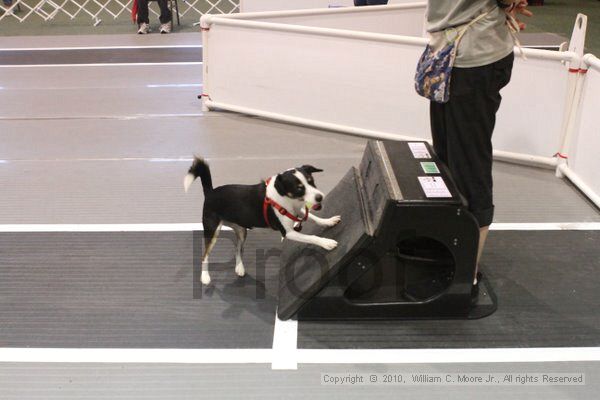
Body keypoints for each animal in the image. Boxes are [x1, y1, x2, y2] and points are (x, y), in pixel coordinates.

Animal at [183, 156, 342, 284]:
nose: (320, 197)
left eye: (312, 181)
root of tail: (210, 192)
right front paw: (326, 243)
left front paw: (328, 221)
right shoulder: (288, 232)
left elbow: (315, 217)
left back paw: (239, 267)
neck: (285, 197)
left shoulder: (298, 210)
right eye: (299, 188)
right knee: (205, 255)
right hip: (212, 231)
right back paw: (205, 277)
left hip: (241, 231)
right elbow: (311, 237)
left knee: (237, 249)